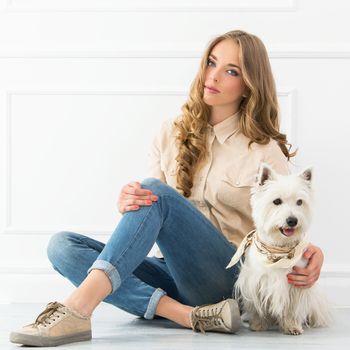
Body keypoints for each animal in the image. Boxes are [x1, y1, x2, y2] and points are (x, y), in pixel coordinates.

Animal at [226, 163, 332, 334]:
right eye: (276, 201)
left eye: (299, 202)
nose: (292, 220)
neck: (278, 249)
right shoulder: (254, 282)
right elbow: (257, 308)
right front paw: (258, 324)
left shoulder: (296, 285)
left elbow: (292, 310)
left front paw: (292, 326)